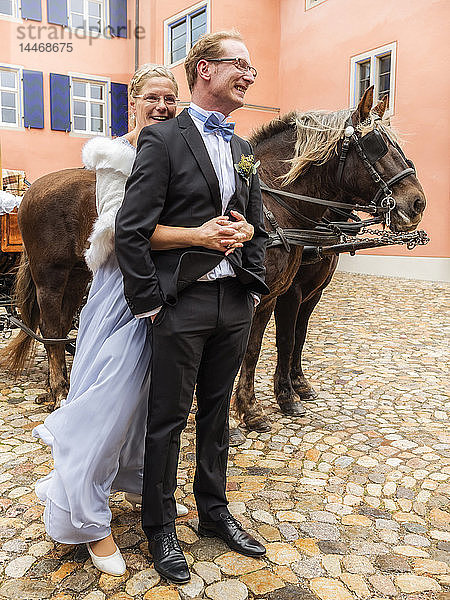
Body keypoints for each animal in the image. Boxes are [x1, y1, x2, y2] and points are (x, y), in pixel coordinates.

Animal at [234, 85, 428, 432]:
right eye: (377, 146)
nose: (417, 203)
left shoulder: (298, 293)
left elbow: (283, 340)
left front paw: (271, 398)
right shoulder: (288, 293)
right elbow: (282, 339)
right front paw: (284, 397)